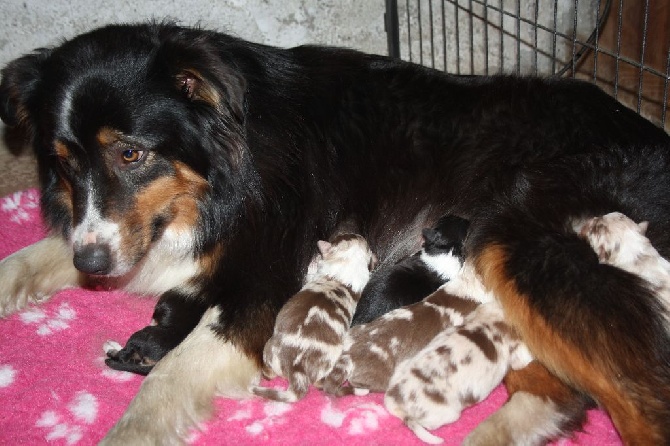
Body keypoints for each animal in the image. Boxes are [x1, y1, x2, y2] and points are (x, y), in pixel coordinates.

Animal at [253, 235, 378, 402]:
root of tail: (296, 368)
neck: (346, 258)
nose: (359, 235)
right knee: (319, 384)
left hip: (269, 348)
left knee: (268, 373)